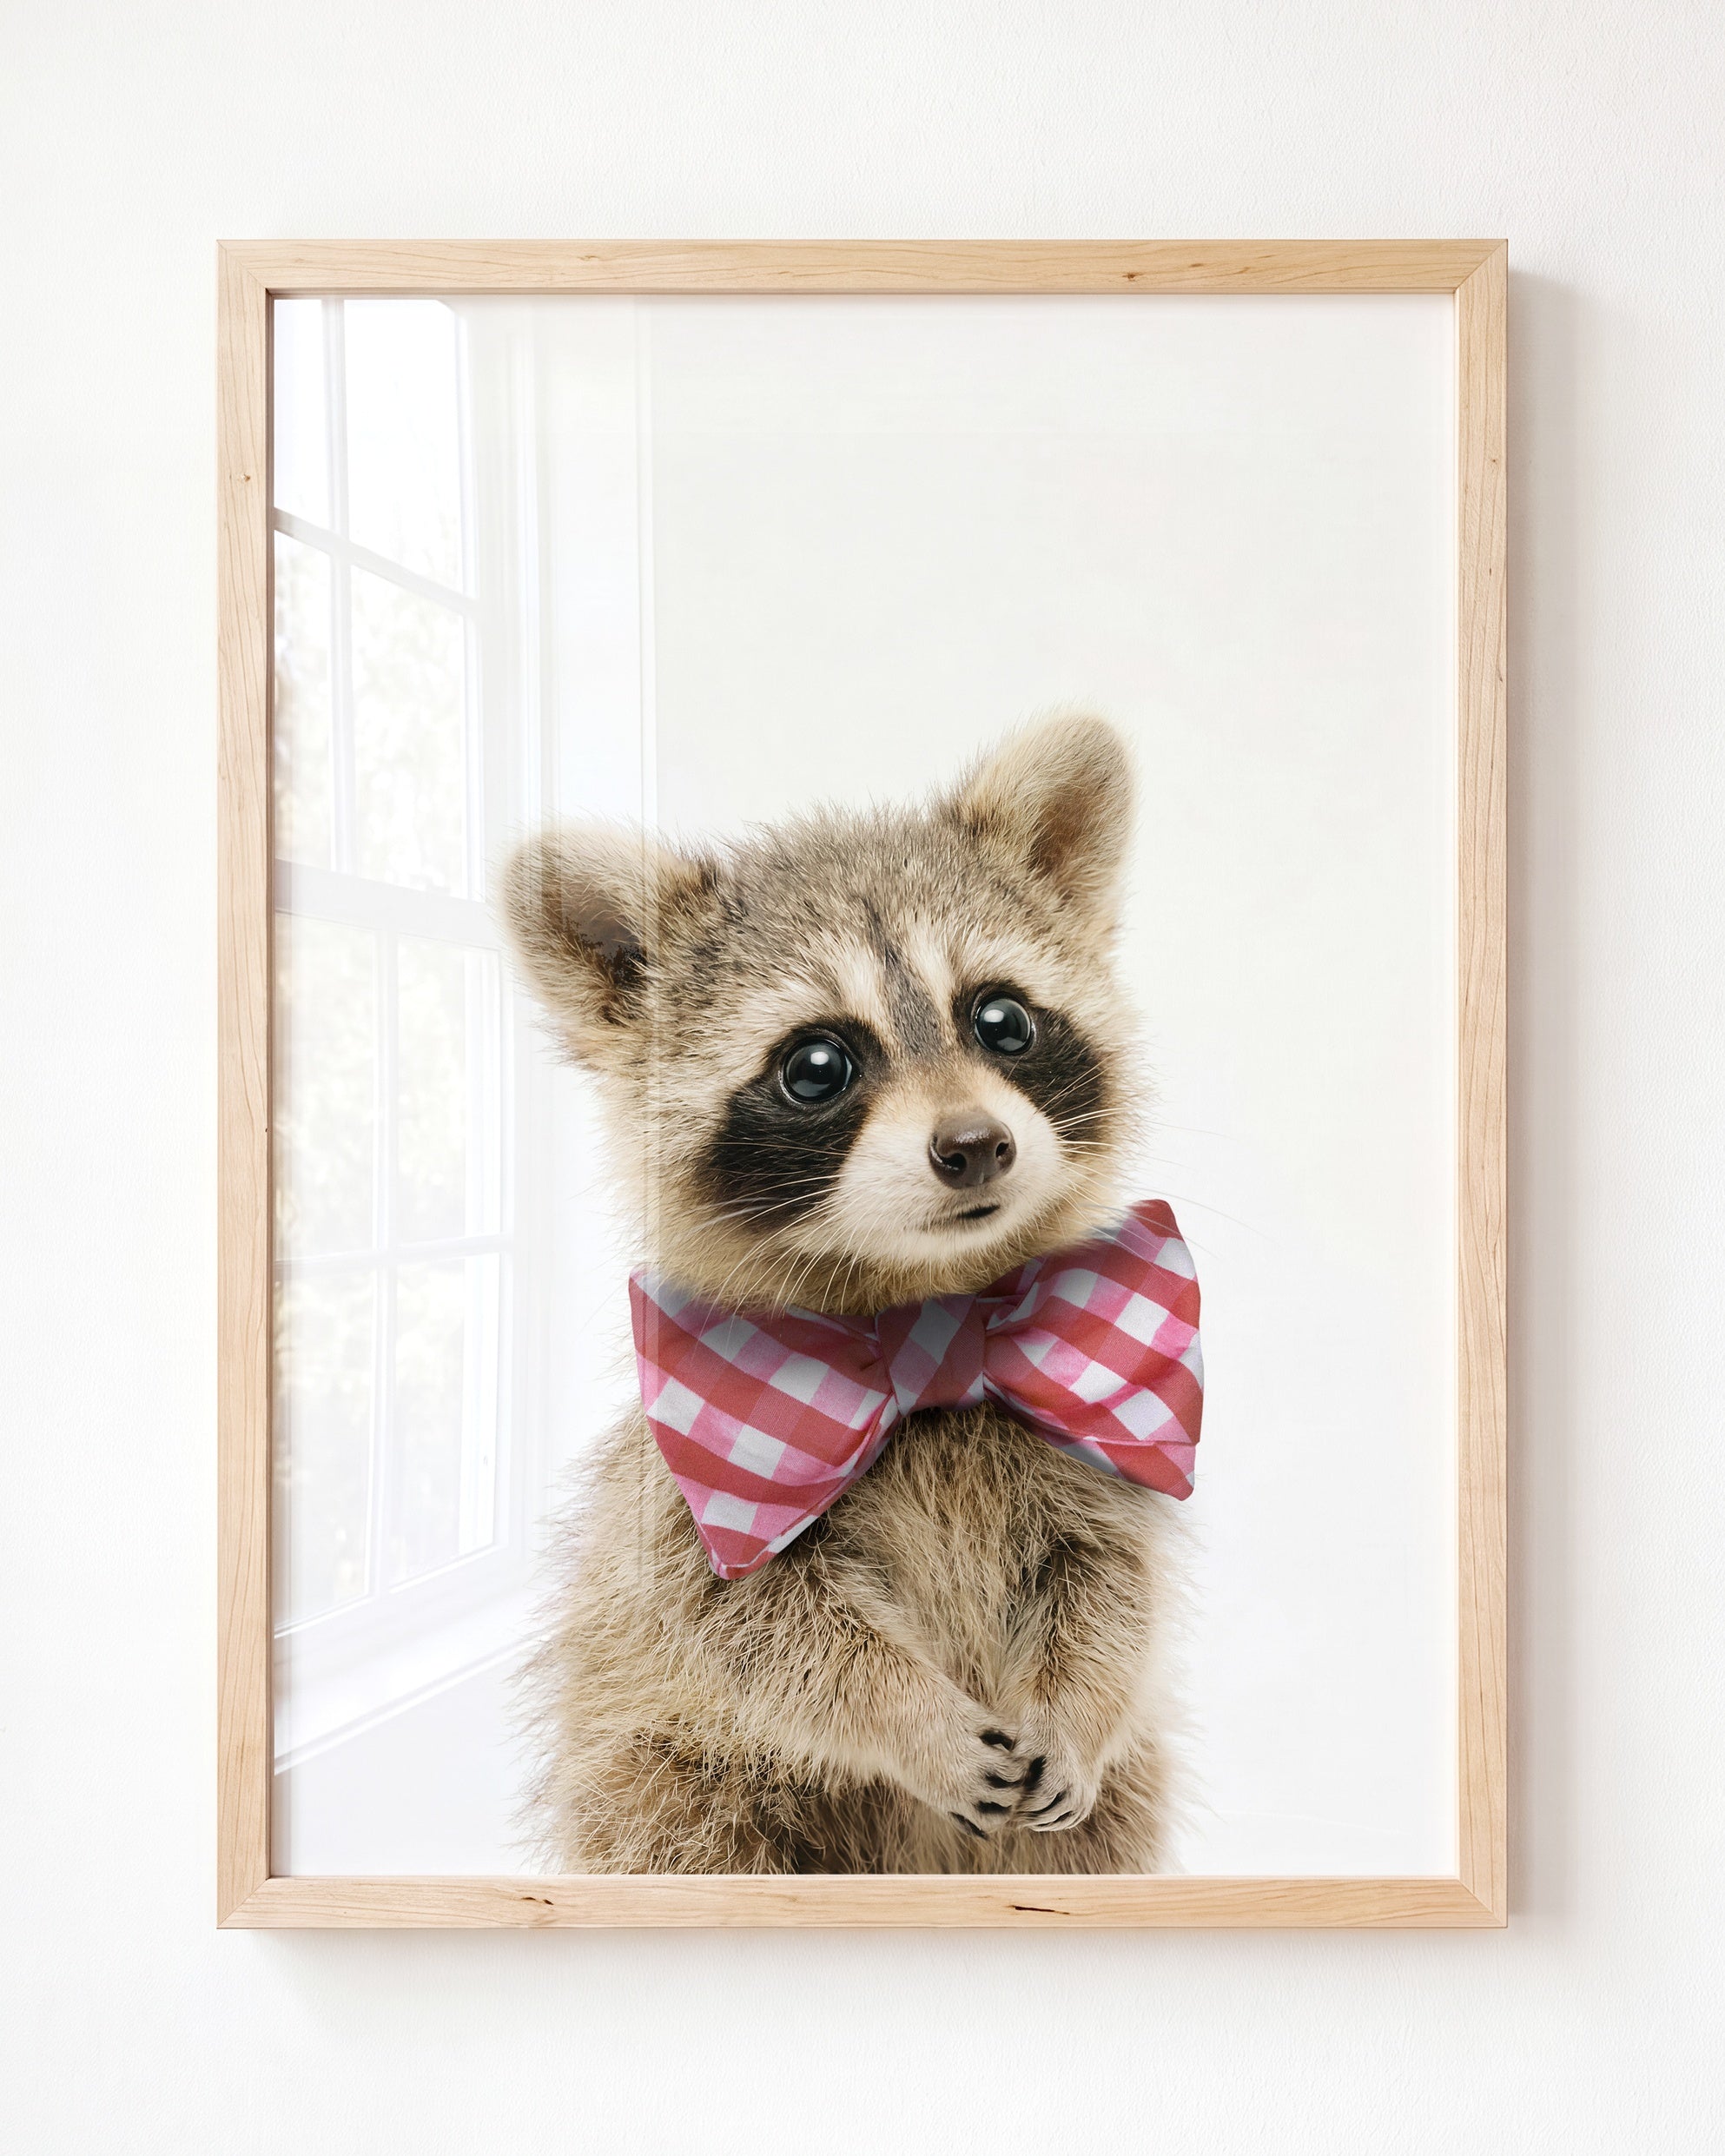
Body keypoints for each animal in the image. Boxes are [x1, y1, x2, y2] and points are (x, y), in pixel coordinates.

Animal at [502, 714, 1188, 1874]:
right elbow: (759, 1633)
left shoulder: (1089, 1444)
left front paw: (1078, 1704)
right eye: (817, 1064)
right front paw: (911, 1716)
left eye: (1002, 1019)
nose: (976, 1145)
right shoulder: (689, 1498)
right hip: (663, 1780)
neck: (930, 1312)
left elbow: (1111, 1582)